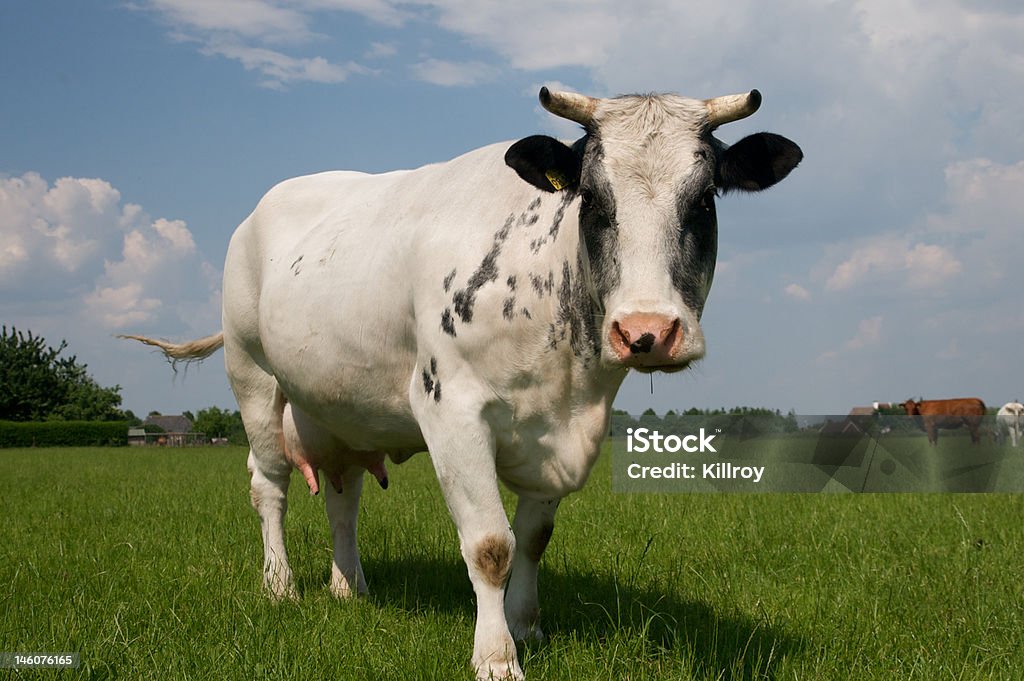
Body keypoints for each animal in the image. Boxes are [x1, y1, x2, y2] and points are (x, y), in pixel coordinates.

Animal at [123, 87, 802, 675]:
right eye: (594, 201)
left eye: (704, 201)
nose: (647, 331)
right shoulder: (451, 410)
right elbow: (491, 546)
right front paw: (497, 657)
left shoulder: (556, 435)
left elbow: (533, 540)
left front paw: (528, 628)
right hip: (254, 375)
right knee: (269, 486)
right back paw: (281, 586)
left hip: (338, 406)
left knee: (343, 496)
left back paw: (351, 587)